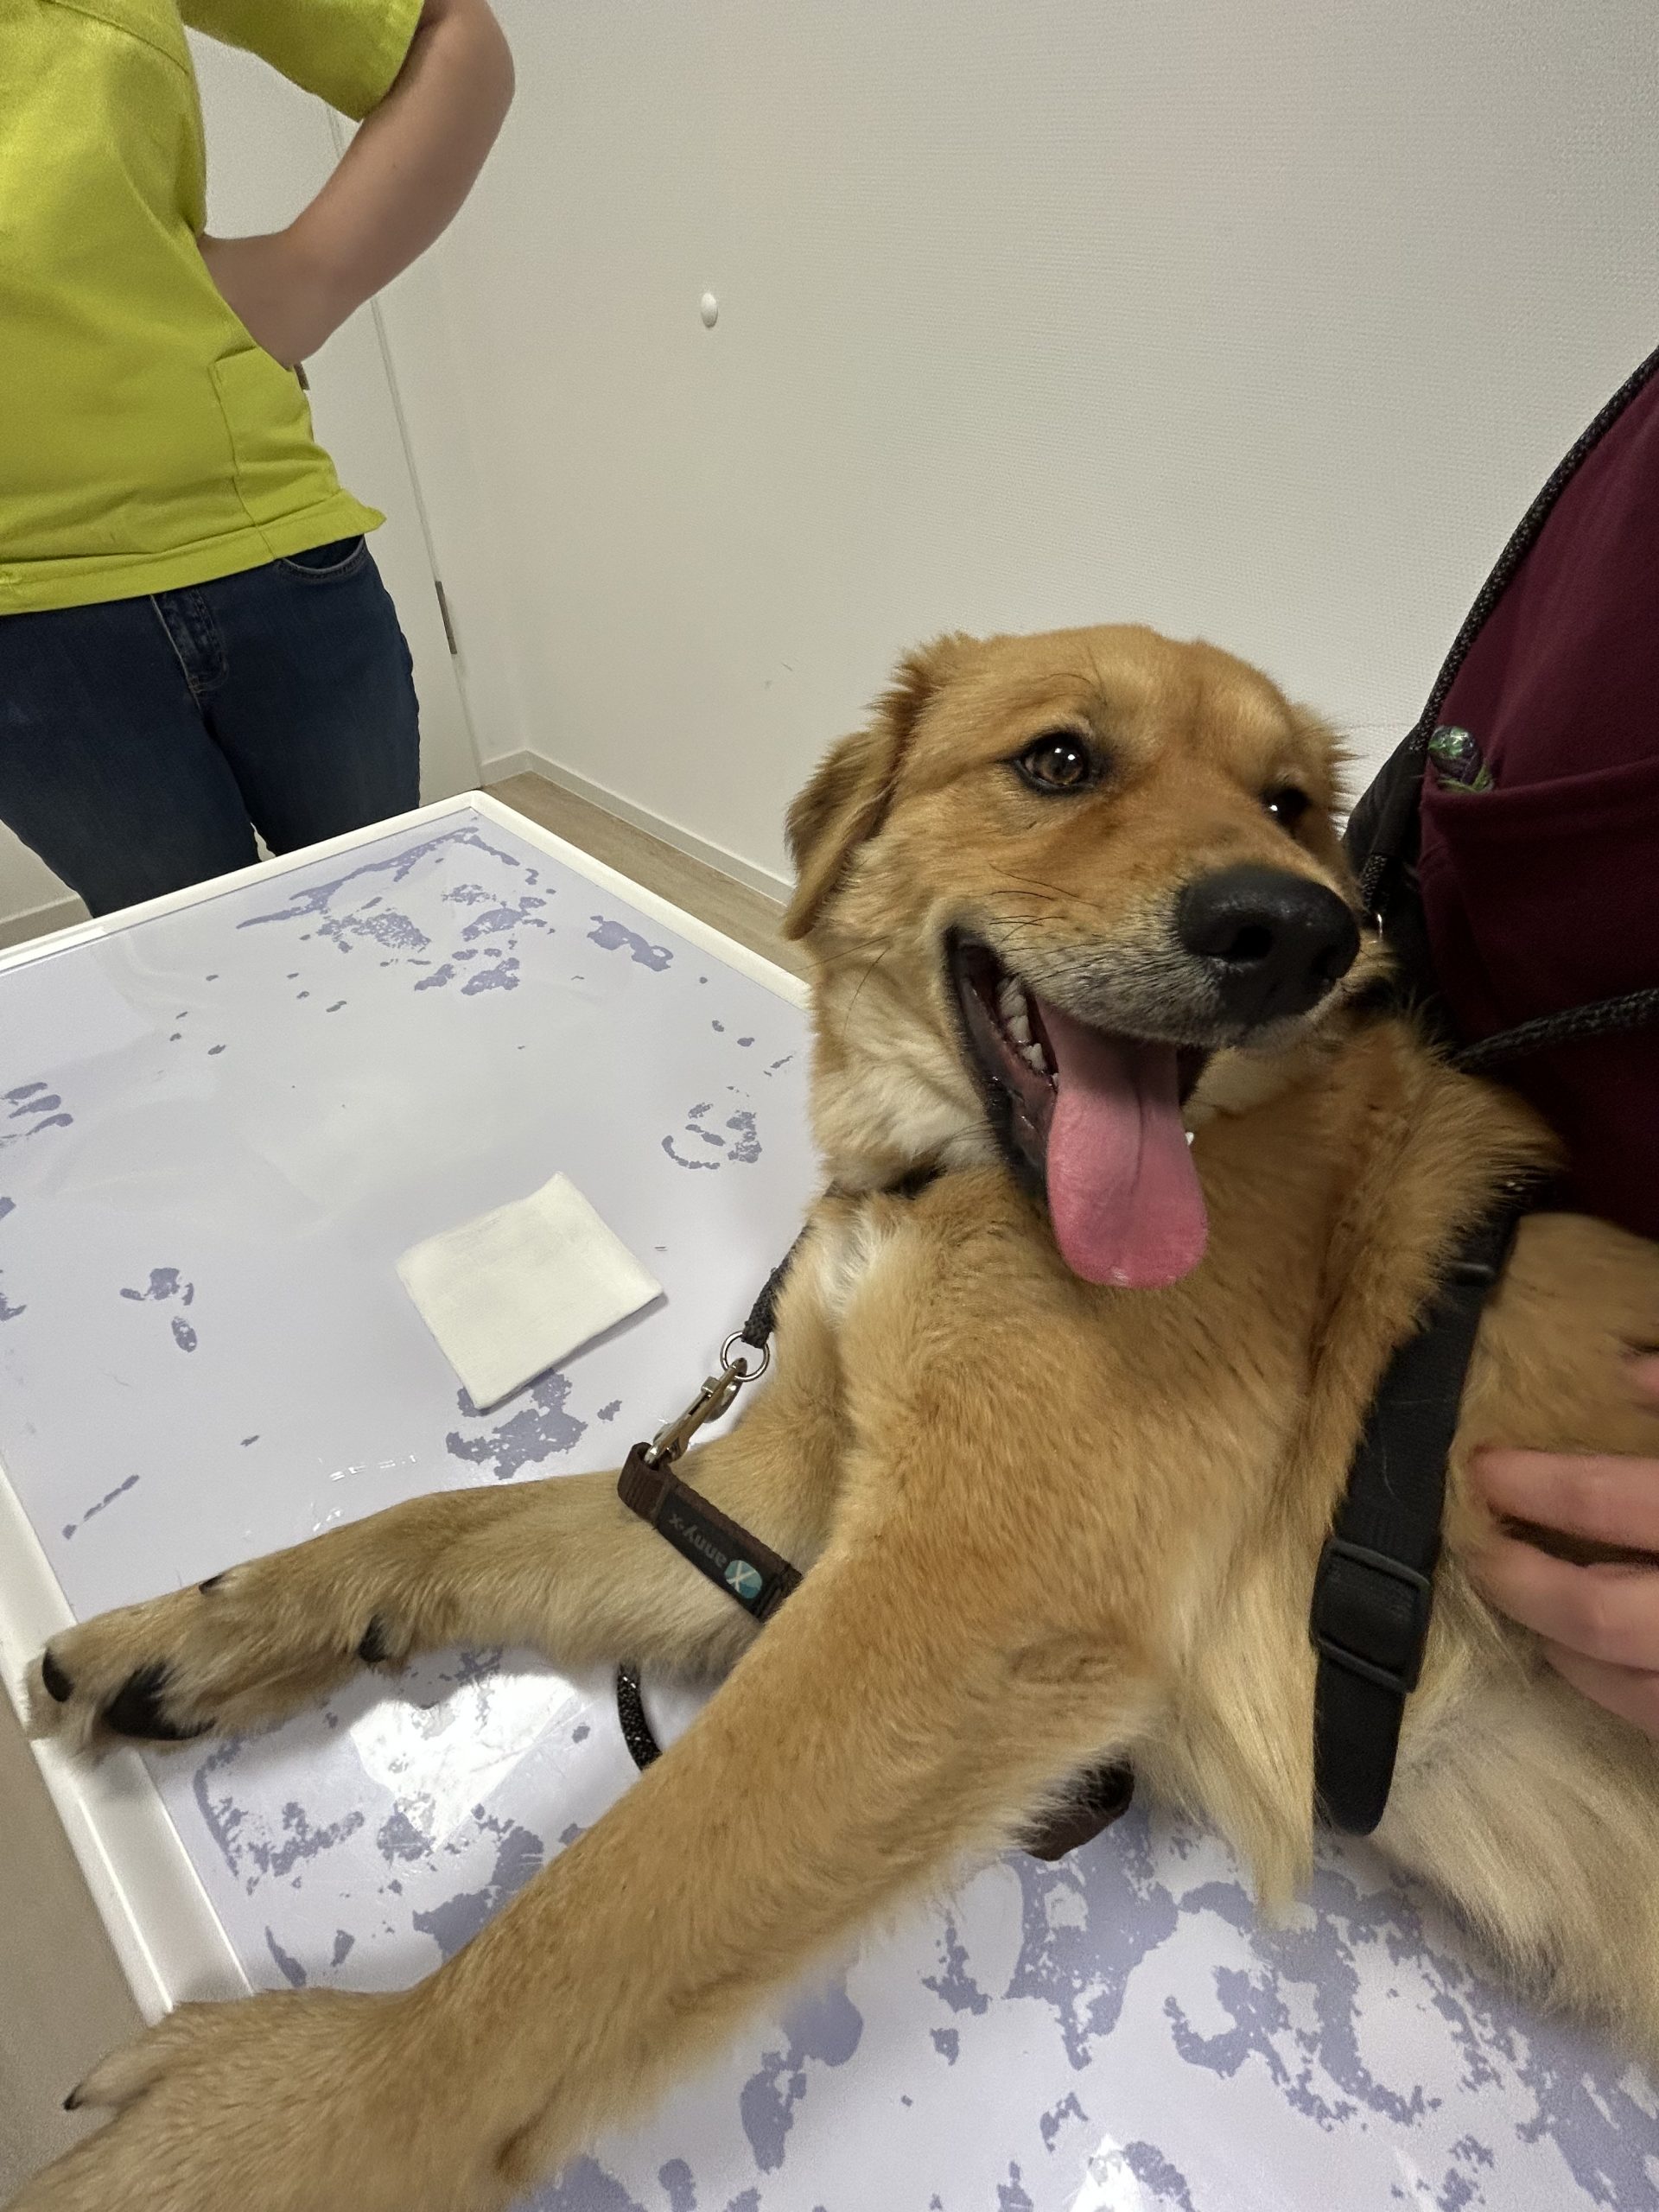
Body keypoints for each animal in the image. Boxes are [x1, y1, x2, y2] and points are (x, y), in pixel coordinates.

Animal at [13, 624, 1659, 2212]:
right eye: (1060, 761)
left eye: (1286, 807)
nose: (1302, 932)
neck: (949, 1174)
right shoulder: (772, 1496)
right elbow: (460, 1521)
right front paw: (220, 1619)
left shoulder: (958, 1597)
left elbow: (582, 1930)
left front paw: (263, 2129)